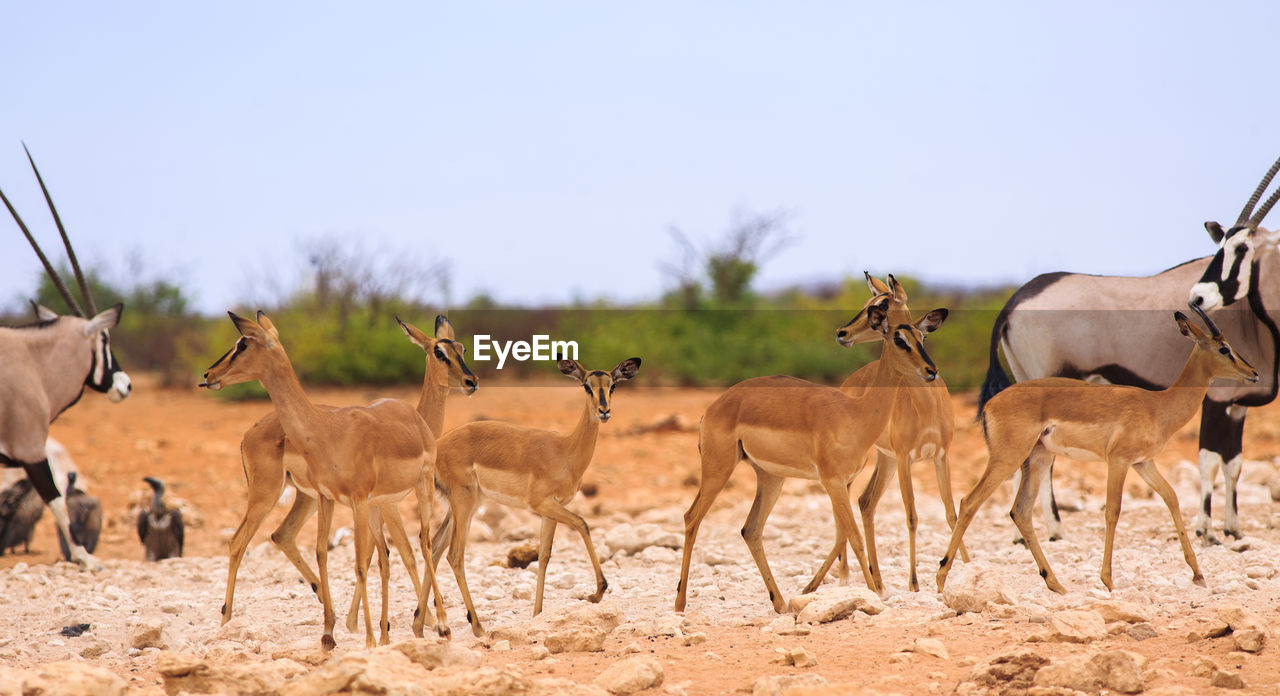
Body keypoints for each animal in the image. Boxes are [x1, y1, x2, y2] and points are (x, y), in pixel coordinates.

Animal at [194, 312, 445, 649]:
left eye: (243, 343)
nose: (208, 374)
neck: (326, 430)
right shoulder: (331, 499)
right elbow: (327, 554)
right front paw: (332, 634)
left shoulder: (357, 502)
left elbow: (360, 563)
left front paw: (366, 638)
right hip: (305, 498)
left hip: (416, 488)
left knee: (426, 543)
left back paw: (440, 625)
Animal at [432, 355, 640, 634]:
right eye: (586, 386)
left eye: (613, 385)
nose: (604, 411)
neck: (565, 452)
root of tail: (437, 446)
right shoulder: (542, 504)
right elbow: (583, 524)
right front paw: (596, 593)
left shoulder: (550, 511)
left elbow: (544, 555)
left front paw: (537, 613)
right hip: (464, 503)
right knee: (454, 555)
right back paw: (477, 627)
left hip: (462, 506)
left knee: (434, 547)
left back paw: (426, 625)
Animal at [675, 296, 947, 611]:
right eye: (898, 339)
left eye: (922, 338)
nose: (931, 370)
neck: (855, 413)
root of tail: (715, 406)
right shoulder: (832, 481)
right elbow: (854, 537)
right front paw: (874, 595)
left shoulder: (843, 481)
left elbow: (845, 533)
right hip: (718, 470)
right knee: (692, 518)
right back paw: (679, 604)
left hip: (770, 478)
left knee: (750, 529)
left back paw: (780, 603)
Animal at [803, 275, 962, 591]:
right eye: (898, 339)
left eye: (879, 304)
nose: (842, 332)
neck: (925, 406)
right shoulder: (904, 458)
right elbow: (911, 515)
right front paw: (914, 583)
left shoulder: (941, 456)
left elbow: (951, 513)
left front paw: (963, 567)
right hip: (867, 461)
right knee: (845, 509)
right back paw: (848, 578)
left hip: (884, 460)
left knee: (865, 503)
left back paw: (875, 579)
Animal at [936, 307, 1254, 596]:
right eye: (1224, 348)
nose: (1253, 373)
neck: (1158, 406)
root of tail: (990, 405)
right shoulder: (1119, 461)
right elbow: (1112, 511)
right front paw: (1108, 580)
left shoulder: (1144, 464)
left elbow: (1172, 498)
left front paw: (1198, 574)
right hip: (1007, 459)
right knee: (969, 502)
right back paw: (941, 579)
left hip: (1038, 459)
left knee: (1021, 511)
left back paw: (1055, 583)